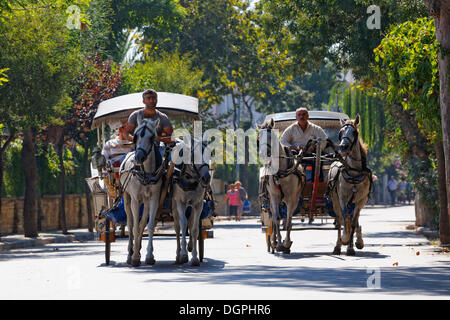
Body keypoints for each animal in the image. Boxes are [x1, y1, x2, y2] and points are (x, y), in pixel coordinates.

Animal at [118, 119, 163, 266]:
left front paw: (149, 255)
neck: (146, 173)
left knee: (142, 223)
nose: (138, 157)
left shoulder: (154, 199)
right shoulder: (135, 200)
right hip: (127, 198)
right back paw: (130, 253)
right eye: (136, 136)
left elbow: (149, 226)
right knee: (130, 223)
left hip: (146, 201)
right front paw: (135, 257)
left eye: (152, 137)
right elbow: (135, 227)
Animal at [256, 119, 306, 254]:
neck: (281, 172)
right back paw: (272, 242)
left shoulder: (292, 199)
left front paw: (286, 244)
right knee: (273, 218)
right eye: (259, 137)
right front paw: (278, 244)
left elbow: (288, 222)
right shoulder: (274, 196)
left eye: (271, 136)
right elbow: (277, 219)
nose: (263, 154)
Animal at [326, 114, 372, 255]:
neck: (354, 172)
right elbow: (344, 220)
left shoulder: (361, 200)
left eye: (354, 132)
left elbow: (352, 222)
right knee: (340, 220)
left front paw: (354, 245)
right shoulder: (342, 197)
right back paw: (338, 245)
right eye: (341, 132)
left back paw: (352, 245)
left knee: (351, 220)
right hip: (335, 200)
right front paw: (344, 239)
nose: (343, 147)